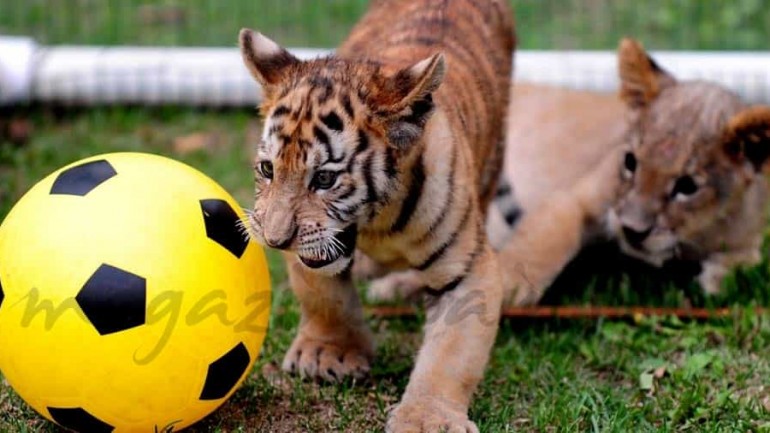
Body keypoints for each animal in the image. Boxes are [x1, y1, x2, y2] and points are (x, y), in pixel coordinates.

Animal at [238, 0, 515, 431]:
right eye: (268, 169)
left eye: (325, 178)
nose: (275, 239)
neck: (376, 223)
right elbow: (322, 295)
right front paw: (328, 353)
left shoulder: (469, 268)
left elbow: (452, 351)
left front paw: (428, 418)